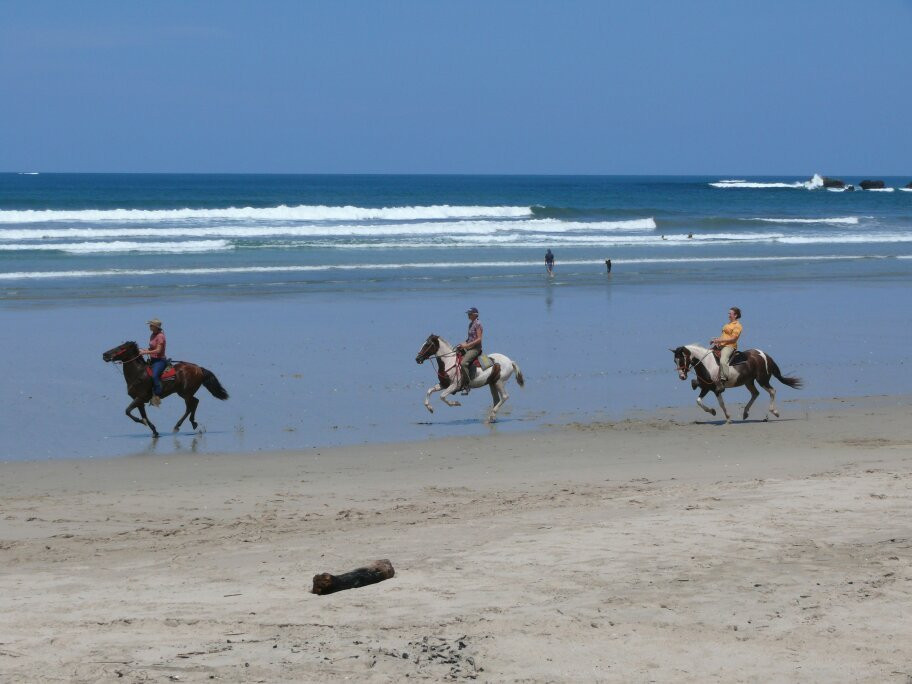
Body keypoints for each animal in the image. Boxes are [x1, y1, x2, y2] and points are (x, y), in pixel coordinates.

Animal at [672, 342, 800, 422]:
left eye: (682, 359)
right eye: (675, 361)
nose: (682, 376)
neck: (707, 364)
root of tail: (764, 355)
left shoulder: (716, 389)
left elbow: (721, 403)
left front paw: (727, 418)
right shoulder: (707, 388)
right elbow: (699, 401)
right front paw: (714, 412)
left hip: (762, 380)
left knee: (772, 391)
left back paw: (775, 412)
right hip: (749, 382)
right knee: (755, 394)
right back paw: (745, 413)